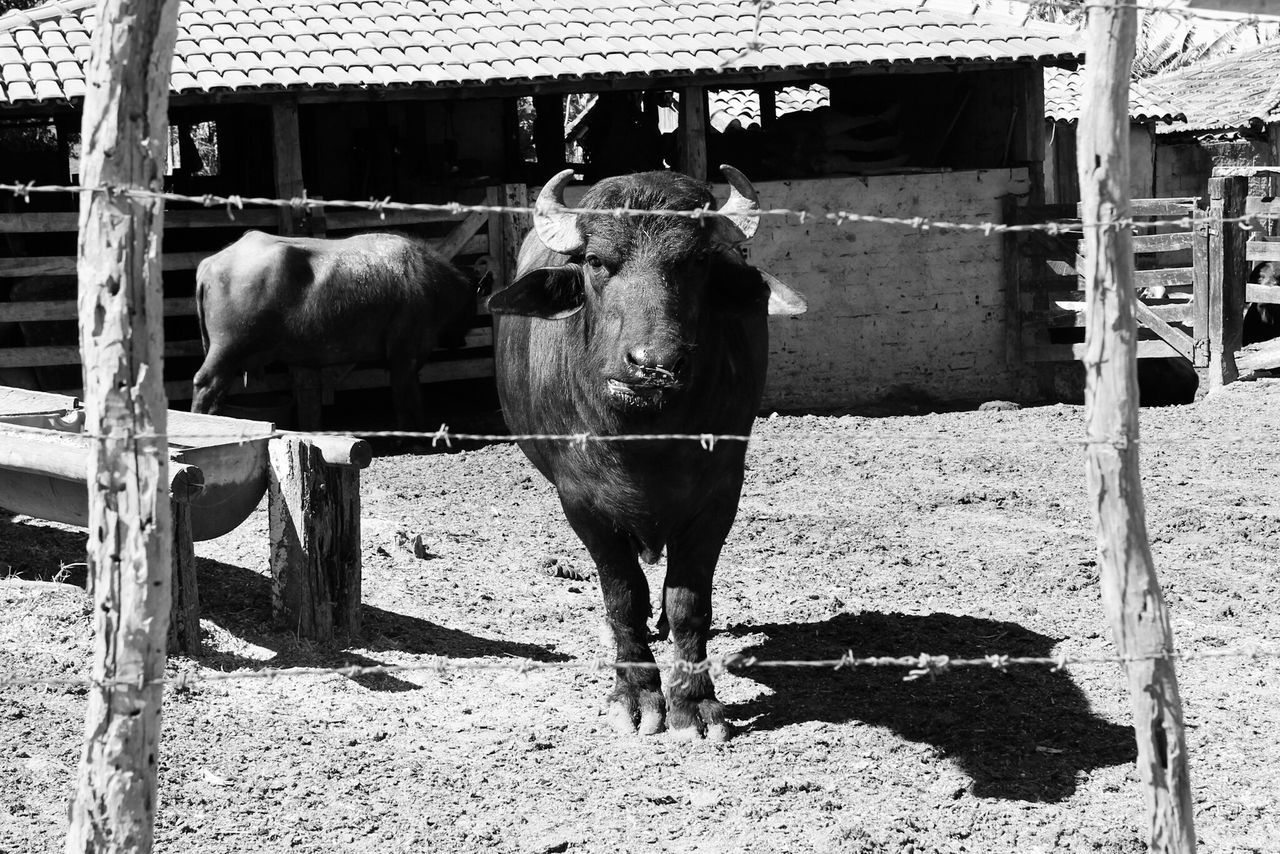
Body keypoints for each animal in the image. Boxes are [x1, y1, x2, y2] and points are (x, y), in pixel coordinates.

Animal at [186, 230, 473, 427]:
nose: (463, 340)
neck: (430, 283)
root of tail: (210, 264)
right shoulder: (405, 355)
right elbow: (407, 396)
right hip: (227, 349)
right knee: (205, 384)